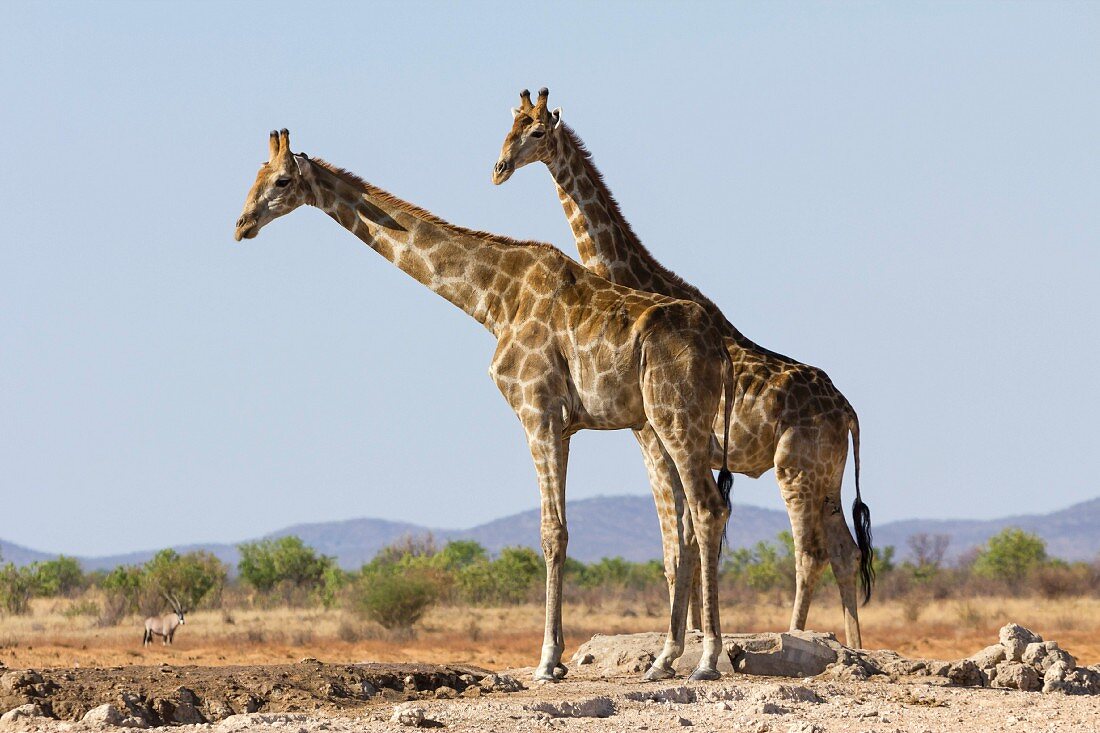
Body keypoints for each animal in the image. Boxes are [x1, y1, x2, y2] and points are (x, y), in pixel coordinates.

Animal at [237, 127, 739, 677]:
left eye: (282, 180)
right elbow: (562, 529)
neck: (494, 301)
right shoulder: (563, 424)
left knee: (707, 510)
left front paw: (547, 660)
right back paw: (671, 657)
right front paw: (558, 658)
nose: (241, 224)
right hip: (674, 426)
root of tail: (720, 347)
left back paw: (708, 658)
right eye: (254, 176)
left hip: (675, 419)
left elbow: (552, 532)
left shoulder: (537, 411)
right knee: (691, 523)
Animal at [492, 89, 875, 647]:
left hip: (795, 469)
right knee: (846, 552)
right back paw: (852, 650)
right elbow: (688, 544)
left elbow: (681, 545)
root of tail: (848, 412)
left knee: (810, 553)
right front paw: (693, 635)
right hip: (829, 473)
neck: (636, 280)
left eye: (537, 131)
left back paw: (797, 637)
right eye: (507, 128)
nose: (499, 169)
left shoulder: (654, 438)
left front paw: (690, 640)